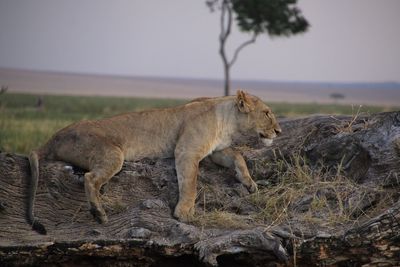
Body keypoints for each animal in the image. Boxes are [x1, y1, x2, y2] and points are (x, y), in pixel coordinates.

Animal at [27, 90, 282, 234]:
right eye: (267, 113)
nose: (279, 131)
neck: (227, 122)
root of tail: (52, 138)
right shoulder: (187, 151)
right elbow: (190, 183)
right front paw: (184, 213)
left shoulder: (214, 150)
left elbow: (238, 156)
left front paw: (249, 183)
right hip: (112, 153)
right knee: (90, 178)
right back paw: (98, 213)